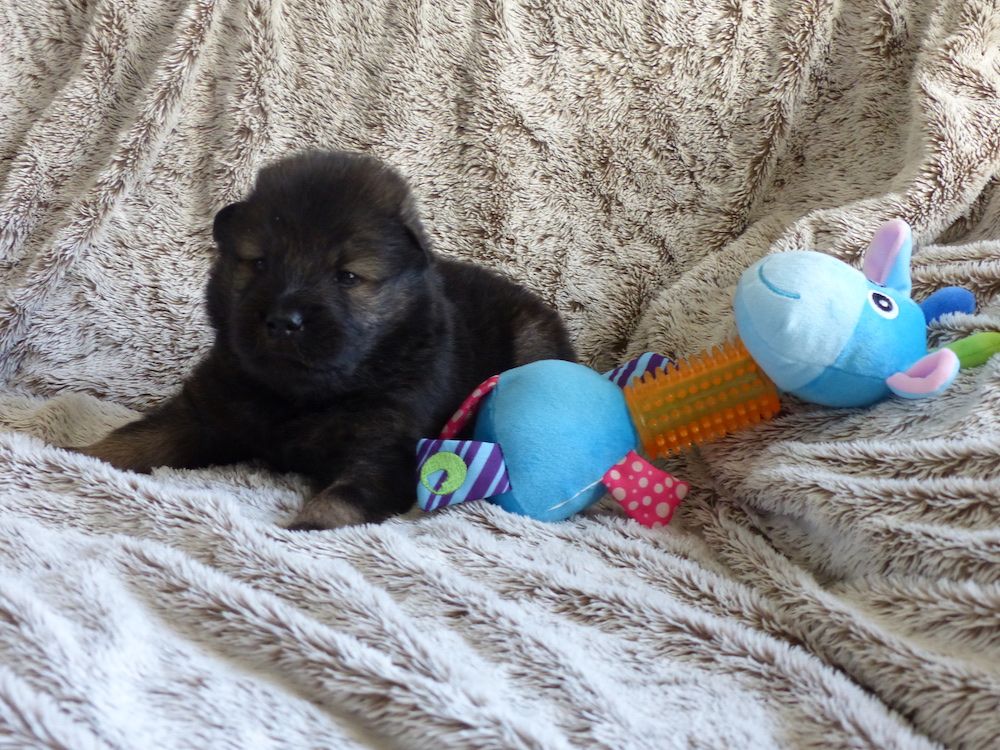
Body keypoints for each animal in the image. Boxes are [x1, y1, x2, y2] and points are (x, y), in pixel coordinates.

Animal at [77, 150, 576, 530]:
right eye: (260, 263)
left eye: (347, 276)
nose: (284, 320)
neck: (302, 396)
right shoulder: (205, 408)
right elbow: (139, 437)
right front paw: (79, 453)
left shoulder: (387, 446)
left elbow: (349, 494)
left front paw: (309, 524)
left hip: (532, 343)